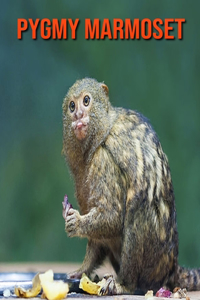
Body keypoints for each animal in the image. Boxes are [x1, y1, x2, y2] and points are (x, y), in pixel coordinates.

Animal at [62, 78, 200, 296]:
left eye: (86, 101)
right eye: (72, 106)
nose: (78, 115)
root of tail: (172, 268)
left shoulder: (104, 160)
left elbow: (113, 215)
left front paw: (76, 223)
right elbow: (97, 240)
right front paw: (83, 269)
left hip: (154, 263)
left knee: (137, 209)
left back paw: (123, 284)